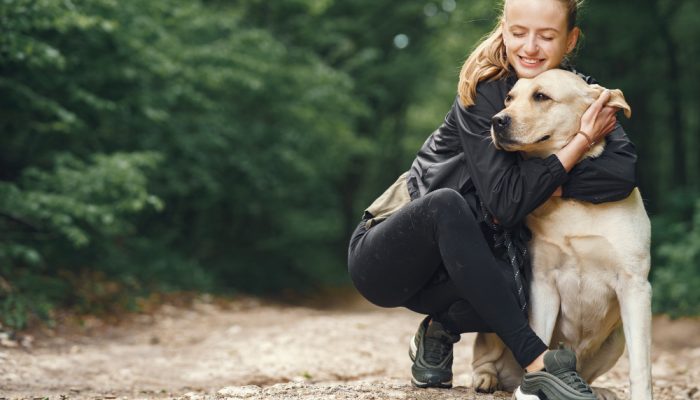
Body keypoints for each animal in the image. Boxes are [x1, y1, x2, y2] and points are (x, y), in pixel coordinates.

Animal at [468, 69, 652, 400]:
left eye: (541, 96)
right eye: (509, 98)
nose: (496, 120)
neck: (572, 202)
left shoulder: (635, 287)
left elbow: (640, 366)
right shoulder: (542, 283)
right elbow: (537, 340)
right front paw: (530, 390)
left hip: (616, 338)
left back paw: (598, 390)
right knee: (485, 356)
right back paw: (487, 378)